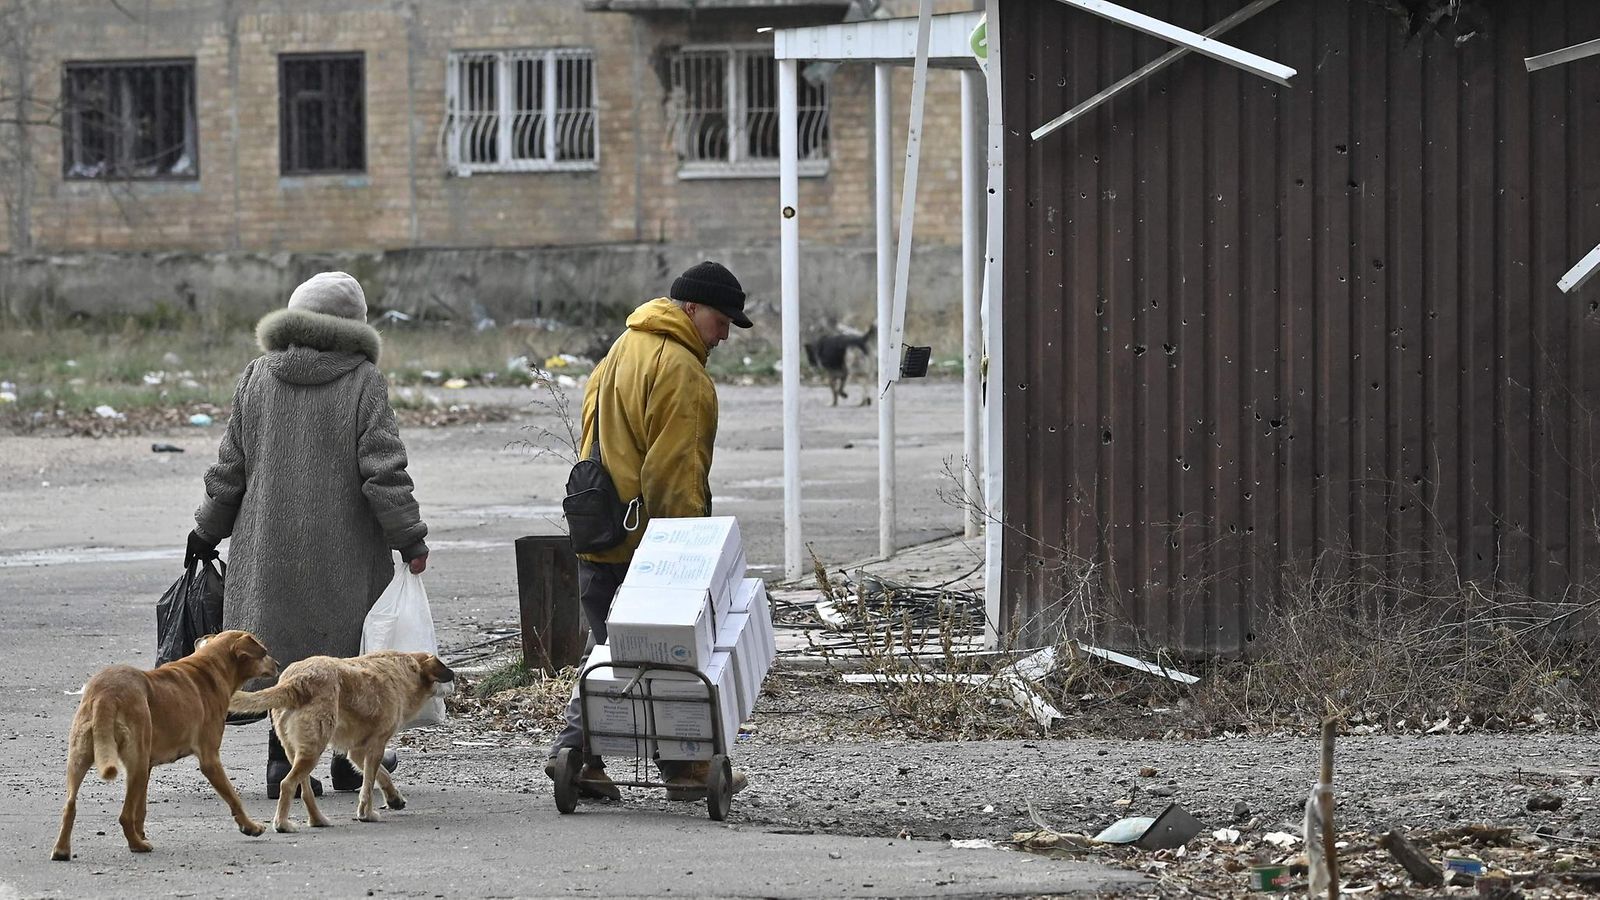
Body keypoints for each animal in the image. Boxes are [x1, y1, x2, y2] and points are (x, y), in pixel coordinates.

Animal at [52, 627, 278, 858]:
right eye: (264, 652)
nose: (278, 664)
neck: (210, 667)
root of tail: (106, 694)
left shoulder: (148, 766)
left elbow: (141, 809)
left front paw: (142, 832)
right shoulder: (210, 759)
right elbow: (233, 796)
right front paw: (249, 826)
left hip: (82, 757)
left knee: (70, 806)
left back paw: (62, 849)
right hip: (136, 763)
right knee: (124, 815)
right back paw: (137, 845)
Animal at [225, 646, 454, 832]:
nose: (454, 677)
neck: (405, 668)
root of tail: (297, 681)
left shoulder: (358, 751)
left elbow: (382, 774)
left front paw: (394, 798)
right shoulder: (376, 746)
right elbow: (369, 784)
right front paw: (366, 814)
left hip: (297, 751)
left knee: (305, 790)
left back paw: (317, 820)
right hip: (313, 748)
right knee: (287, 784)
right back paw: (282, 824)